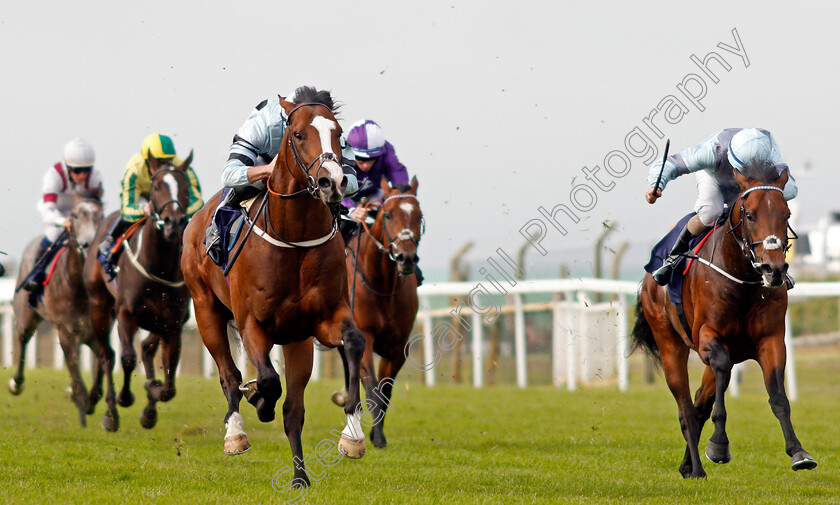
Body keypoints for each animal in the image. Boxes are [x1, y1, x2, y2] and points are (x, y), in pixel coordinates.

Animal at [9, 195, 110, 428]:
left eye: (100, 215)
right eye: (75, 215)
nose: (88, 244)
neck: (80, 287)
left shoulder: (96, 332)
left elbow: (100, 371)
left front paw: (89, 402)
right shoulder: (66, 332)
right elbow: (78, 379)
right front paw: (82, 415)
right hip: (27, 317)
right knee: (22, 339)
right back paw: (16, 383)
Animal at [83, 156, 193, 432]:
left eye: (186, 188)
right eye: (156, 186)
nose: (174, 222)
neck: (157, 266)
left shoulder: (173, 324)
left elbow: (169, 383)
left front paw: (152, 393)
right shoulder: (125, 313)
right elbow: (128, 359)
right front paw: (125, 398)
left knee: (145, 349)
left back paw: (148, 409)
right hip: (99, 306)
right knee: (107, 355)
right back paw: (109, 412)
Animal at [180, 87, 368, 488]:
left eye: (339, 133)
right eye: (297, 134)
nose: (332, 182)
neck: (293, 239)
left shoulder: (320, 322)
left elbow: (354, 342)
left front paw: (352, 434)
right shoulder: (252, 322)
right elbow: (266, 378)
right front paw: (259, 400)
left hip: (296, 341)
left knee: (294, 408)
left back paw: (299, 476)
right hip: (206, 310)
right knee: (229, 375)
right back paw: (236, 432)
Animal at [330, 175, 420, 446]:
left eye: (419, 216)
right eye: (388, 215)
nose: (406, 258)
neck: (382, 286)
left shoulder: (398, 347)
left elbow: (385, 390)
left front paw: (375, 433)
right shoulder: (366, 337)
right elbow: (371, 388)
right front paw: (377, 437)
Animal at [632, 161, 816, 476]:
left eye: (786, 214)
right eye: (750, 215)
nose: (774, 269)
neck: (742, 280)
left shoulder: (770, 340)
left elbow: (778, 397)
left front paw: (798, 452)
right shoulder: (709, 338)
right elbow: (719, 373)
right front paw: (719, 444)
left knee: (698, 403)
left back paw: (687, 465)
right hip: (669, 342)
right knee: (686, 408)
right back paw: (696, 468)